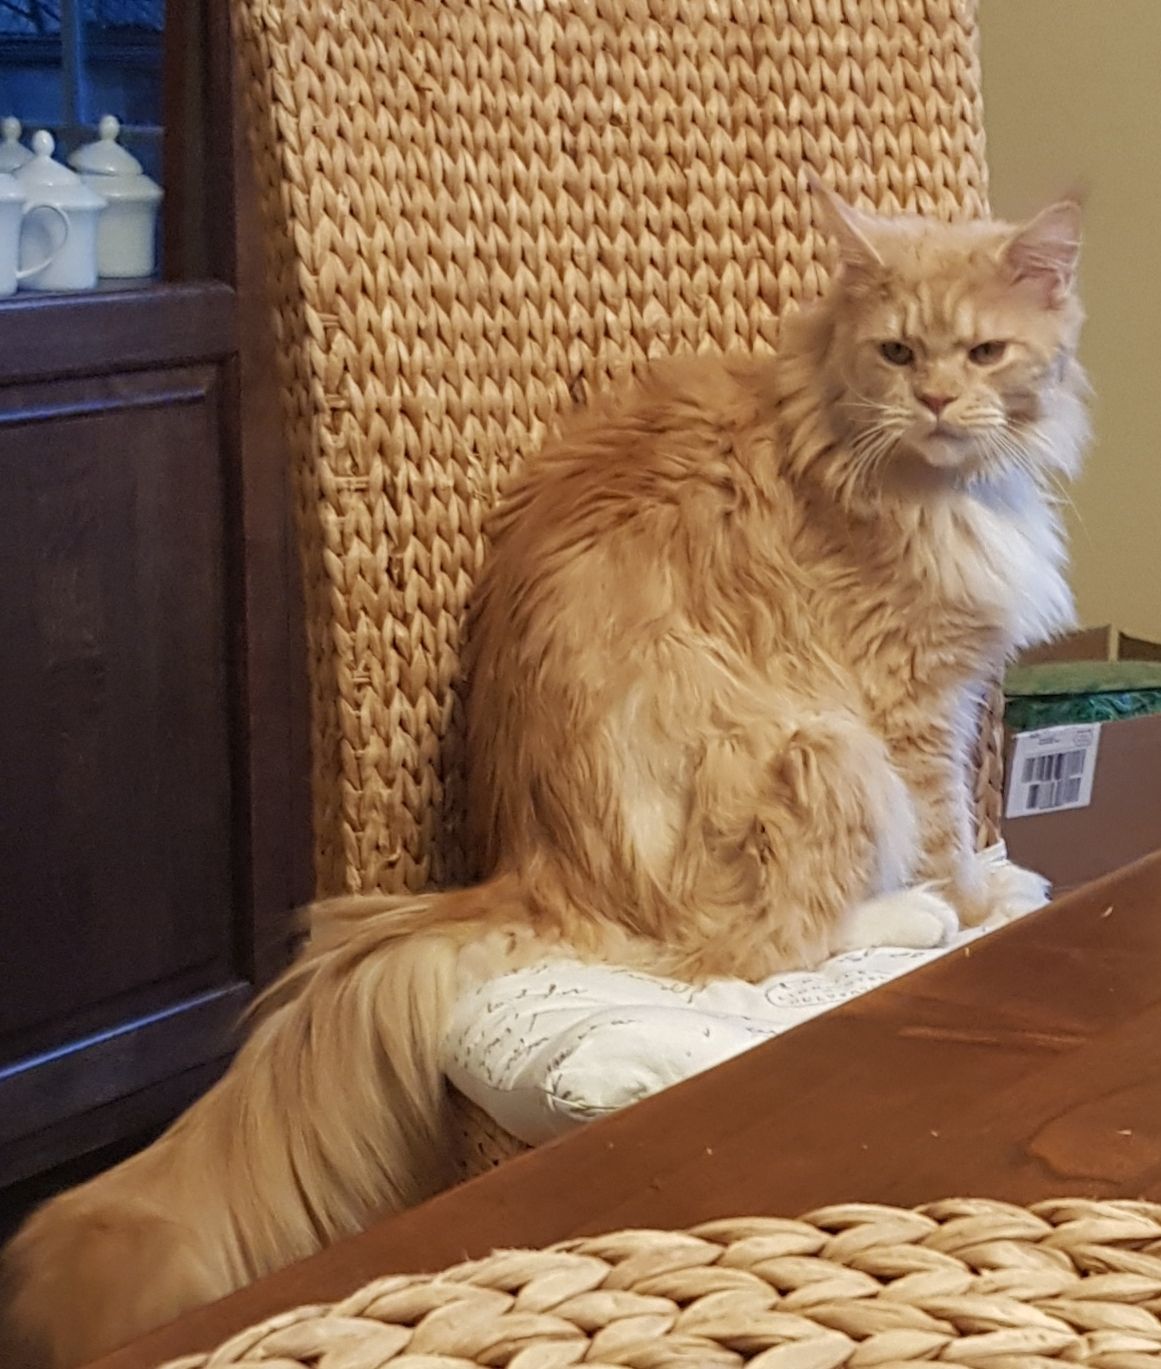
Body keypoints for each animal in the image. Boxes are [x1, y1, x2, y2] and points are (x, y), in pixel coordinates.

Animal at [1, 181, 1088, 1367]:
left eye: (982, 352)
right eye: (896, 352)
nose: (935, 400)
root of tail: (539, 868)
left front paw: (1000, 881)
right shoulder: (912, 703)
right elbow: (947, 836)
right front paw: (981, 907)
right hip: (825, 751)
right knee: (760, 946)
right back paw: (909, 920)